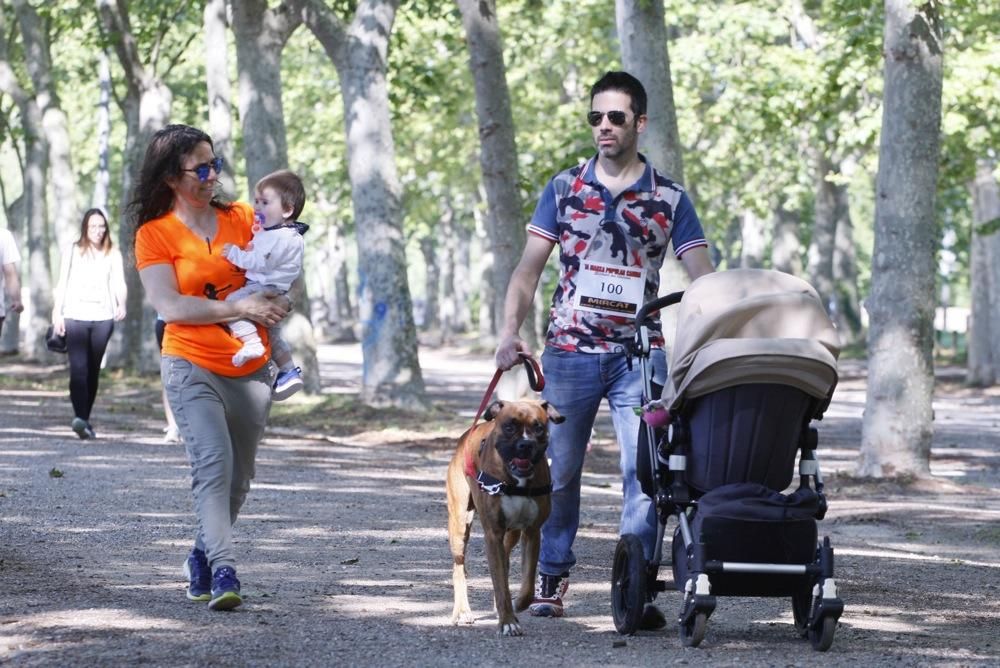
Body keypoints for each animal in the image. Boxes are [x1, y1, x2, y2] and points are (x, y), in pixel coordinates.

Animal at [446, 400, 564, 636]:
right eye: (510, 427)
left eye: (538, 427)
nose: (525, 445)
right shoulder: (493, 534)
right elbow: (500, 584)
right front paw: (508, 621)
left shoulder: (531, 532)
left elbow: (526, 585)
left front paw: (517, 604)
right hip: (460, 526)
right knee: (459, 568)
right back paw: (462, 611)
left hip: (512, 534)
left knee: (506, 558)